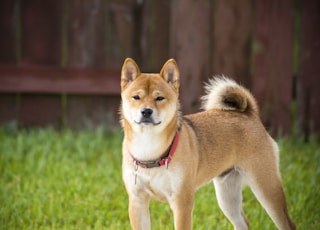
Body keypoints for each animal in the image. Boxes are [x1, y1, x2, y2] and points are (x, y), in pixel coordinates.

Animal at [119, 58, 296, 230]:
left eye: (159, 98)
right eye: (136, 97)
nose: (146, 111)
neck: (149, 149)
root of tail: (249, 114)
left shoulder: (182, 202)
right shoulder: (137, 201)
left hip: (266, 187)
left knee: (288, 224)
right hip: (227, 194)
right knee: (243, 223)